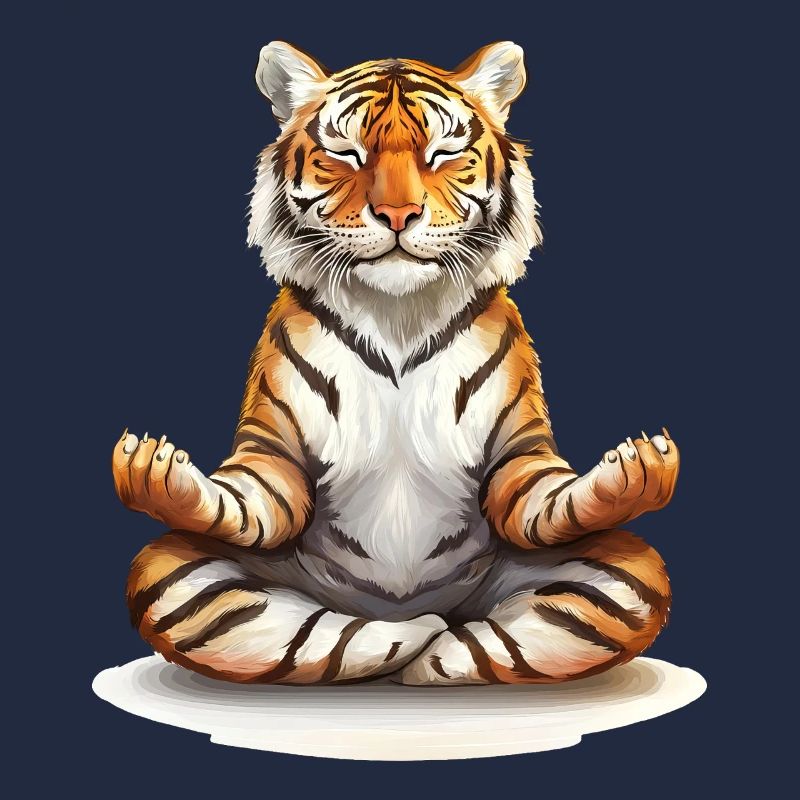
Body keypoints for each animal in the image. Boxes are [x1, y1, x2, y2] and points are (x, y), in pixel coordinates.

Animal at [114, 41, 678, 686]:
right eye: (345, 153)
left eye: (444, 152)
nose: (398, 214)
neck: (397, 312)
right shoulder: (273, 451)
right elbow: (250, 499)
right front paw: (158, 469)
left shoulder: (518, 449)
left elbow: (542, 497)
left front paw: (632, 469)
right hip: (174, 567)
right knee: (321, 635)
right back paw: (413, 635)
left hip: (624, 568)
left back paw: (434, 649)